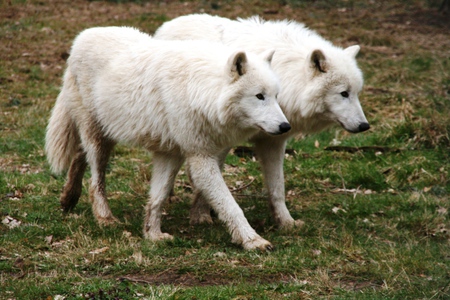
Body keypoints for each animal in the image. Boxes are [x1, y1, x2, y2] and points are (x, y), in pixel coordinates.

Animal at [45, 26, 292, 251]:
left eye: (276, 96)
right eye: (259, 96)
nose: (285, 126)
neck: (201, 92)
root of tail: (81, 37)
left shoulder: (170, 154)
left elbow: (158, 197)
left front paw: (152, 234)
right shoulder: (200, 159)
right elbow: (231, 205)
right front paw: (253, 240)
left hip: (106, 134)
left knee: (80, 155)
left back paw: (68, 198)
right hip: (99, 140)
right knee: (95, 180)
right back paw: (104, 218)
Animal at [155, 12, 370, 229]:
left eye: (356, 93)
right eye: (344, 93)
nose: (365, 126)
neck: (287, 77)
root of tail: (169, 23)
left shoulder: (274, 141)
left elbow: (277, 187)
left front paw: (286, 222)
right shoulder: (222, 141)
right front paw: (200, 215)